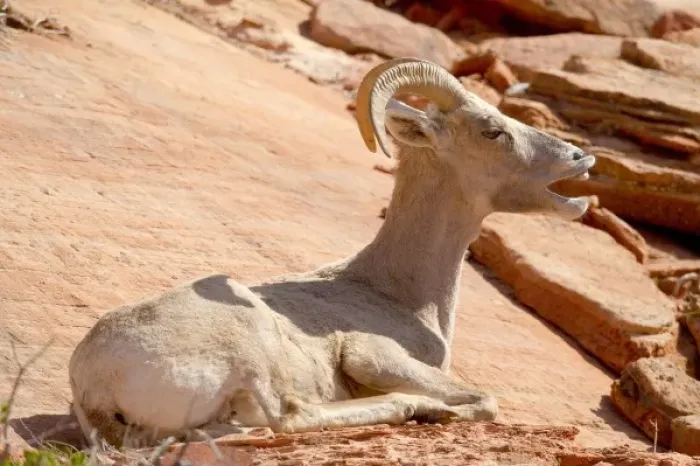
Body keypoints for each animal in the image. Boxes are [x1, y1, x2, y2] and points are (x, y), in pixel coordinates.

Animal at [68, 57, 596, 448]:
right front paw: (439, 413)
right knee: (288, 417)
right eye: (492, 131)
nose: (580, 158)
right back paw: (414, 408)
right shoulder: (372, 355)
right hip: (252, 339)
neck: (398, 294)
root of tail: (96, 385)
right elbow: (487, 400)